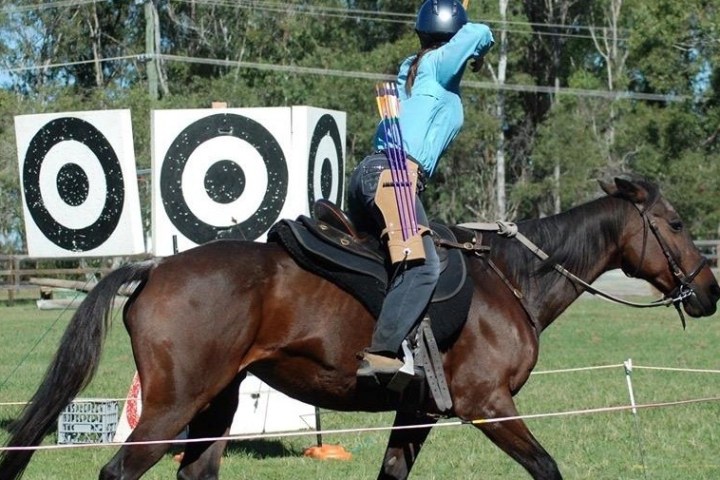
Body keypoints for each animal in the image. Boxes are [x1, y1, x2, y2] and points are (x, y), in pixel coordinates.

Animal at [0, 176, 718, 480]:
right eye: (677, 223)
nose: (709, 291)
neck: (511, 278)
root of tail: (155, 267)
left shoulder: (419, 412)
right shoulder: (488, 406)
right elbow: (546, 468)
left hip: (214, 405)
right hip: (171, 406)